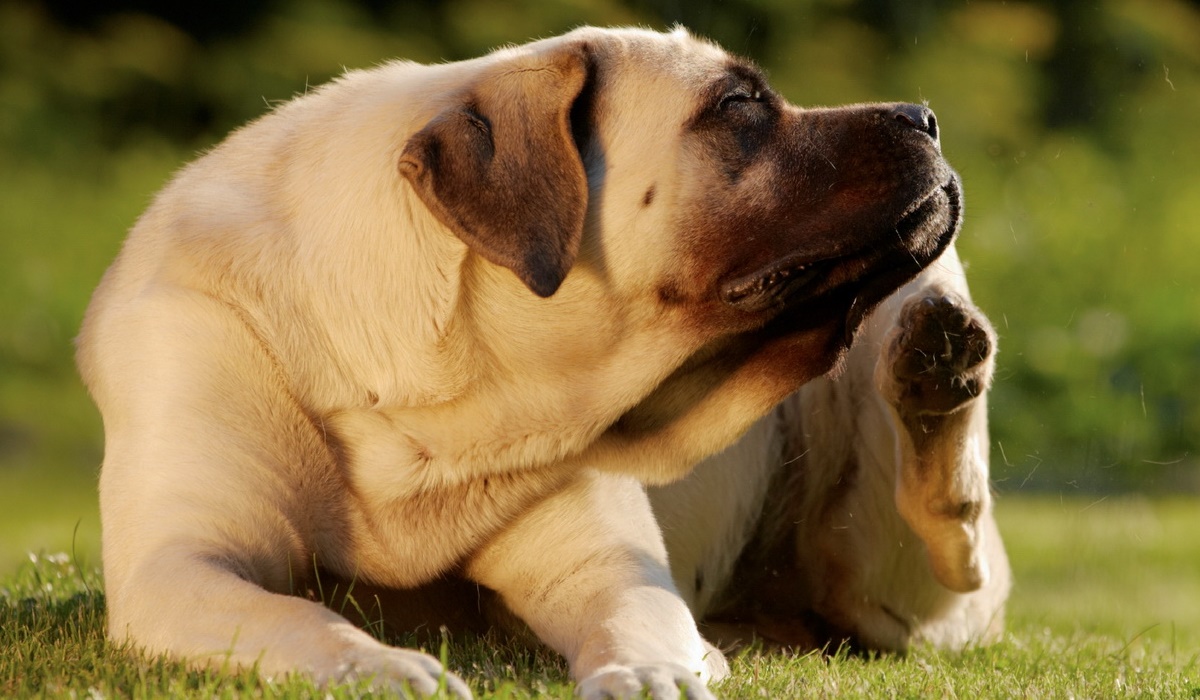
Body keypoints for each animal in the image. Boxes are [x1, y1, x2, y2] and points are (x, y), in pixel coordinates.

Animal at [79, 27, 964, 700]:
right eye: (739, 105)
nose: (926, 114)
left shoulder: (605, 563)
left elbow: (635, 616)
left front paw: (651, 672)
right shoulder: (179, 563)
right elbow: (295, 615)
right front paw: (378, 668)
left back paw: (943, 364)